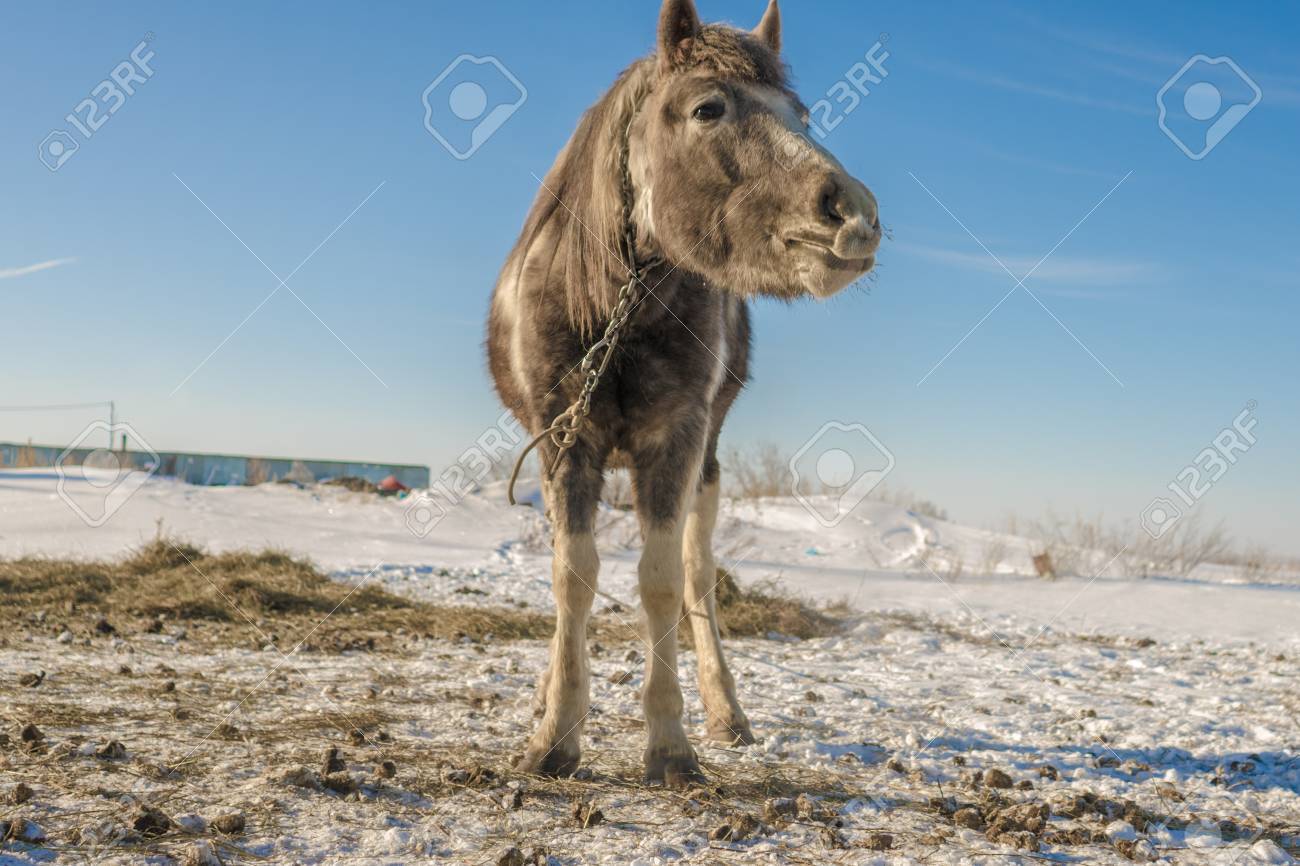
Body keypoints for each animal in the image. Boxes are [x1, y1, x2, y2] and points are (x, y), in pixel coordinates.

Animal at [487, 0, 880, 786]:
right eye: (708, 108)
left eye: (801, 115)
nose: (853, 213)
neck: (608, 303)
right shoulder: (564, 438)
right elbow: (571, 579)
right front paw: (554, 733)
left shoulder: (676, 438)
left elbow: (664, 582)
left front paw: (669, 743)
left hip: (709, 465)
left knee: (700, 576)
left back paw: (726, 712)